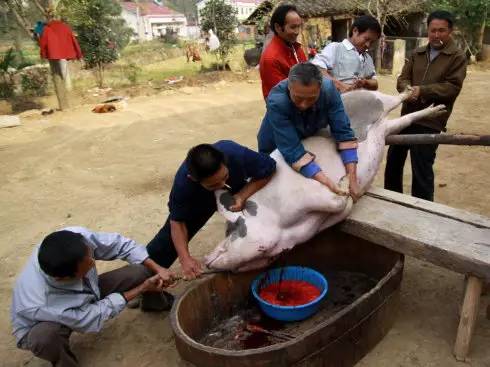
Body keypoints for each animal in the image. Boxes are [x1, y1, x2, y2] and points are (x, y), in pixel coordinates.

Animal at [205, 90, 446, 272]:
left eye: (233, 228)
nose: (206, 261)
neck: (279, 223)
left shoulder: (308, 194)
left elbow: (337, 201)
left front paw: (345, 186)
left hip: (374, 98)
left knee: (394, 99)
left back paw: (421, 96)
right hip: (387, 130)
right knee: (403, 121)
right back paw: (436, 108)